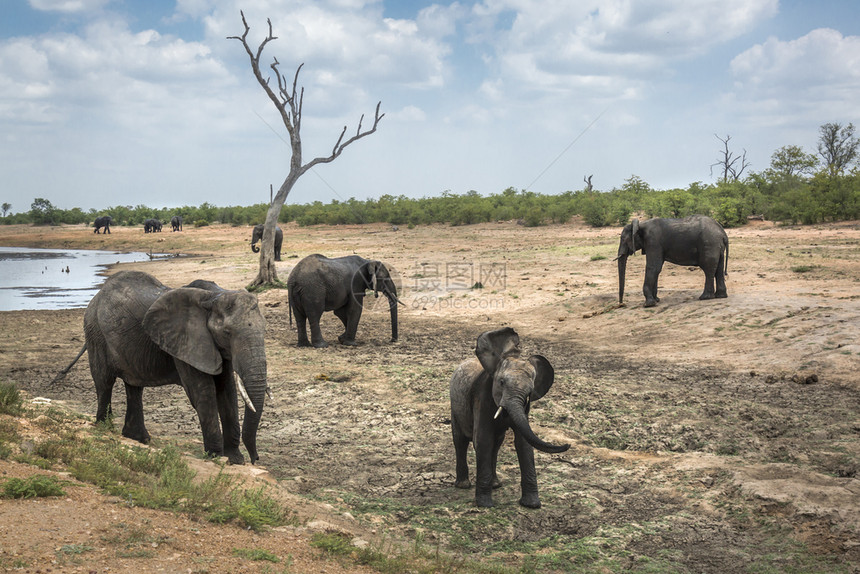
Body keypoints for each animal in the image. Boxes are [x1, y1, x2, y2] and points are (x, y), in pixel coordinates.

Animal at [74, 272, 268, 466]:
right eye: (227, 333)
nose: (255, 459)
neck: (215, 296)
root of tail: (97, 296)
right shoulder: (187, 342)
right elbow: (203, 393)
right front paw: (216, 456)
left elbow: (226, 391)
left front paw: (235, 459)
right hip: (95, 331)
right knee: (104, 382)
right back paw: (105, 427)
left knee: (134, 386)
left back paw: (138, 438)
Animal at [450, 326, 572, 510]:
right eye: (501, 382)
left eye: (530, 392)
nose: (568, 445)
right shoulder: (482, 397)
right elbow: (483, 440)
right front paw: (485, 505)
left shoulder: (525, 409)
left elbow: (523, 443)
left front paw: (532, 505)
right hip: (455, 405)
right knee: (460, 441)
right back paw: (463, 485)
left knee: (496, 445)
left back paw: (495, 485)